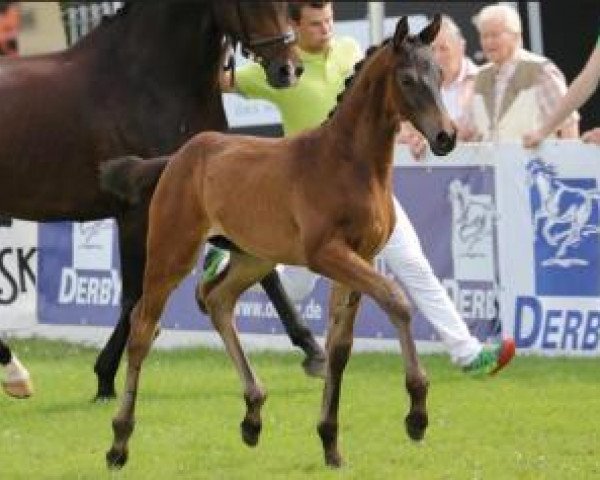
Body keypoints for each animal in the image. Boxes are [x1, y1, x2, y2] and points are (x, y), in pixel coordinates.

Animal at [106, 15, 454, 468]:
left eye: (441, 74)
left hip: (254, 257)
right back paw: (119, 441)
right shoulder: (327, 254)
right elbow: (396, 300)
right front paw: (416, 415)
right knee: (143, 327)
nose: (446, 136)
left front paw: (330, 442)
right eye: (408, 79)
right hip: (171, 252)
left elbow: (340, 347)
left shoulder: (358, 257)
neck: (350, 163)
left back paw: (252, 416)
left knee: (216, 299)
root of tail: (180, 156)